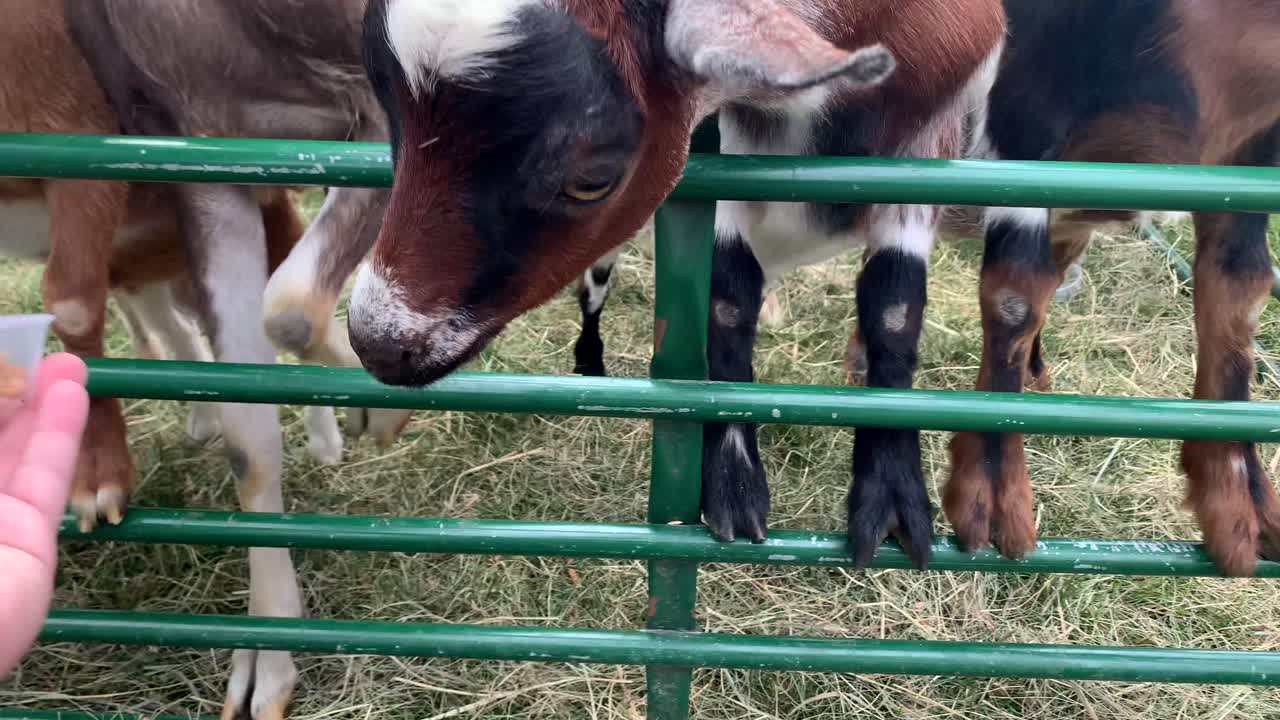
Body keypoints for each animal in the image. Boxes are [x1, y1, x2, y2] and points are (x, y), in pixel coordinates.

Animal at [350, 0, 1006, 572]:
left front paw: (895, 501)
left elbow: (895, 304)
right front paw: (734, 488)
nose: (377, 343)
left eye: (590, 179)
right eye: (387, 111)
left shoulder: (928, 145)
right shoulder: (720, 152)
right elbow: (728, 298)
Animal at [942, 0, 1280, 578]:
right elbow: (1014, 292)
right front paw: (991, 508)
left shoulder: (1248, 165)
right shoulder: (1024, 123)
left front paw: (1246, 519)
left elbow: (1240, 297)